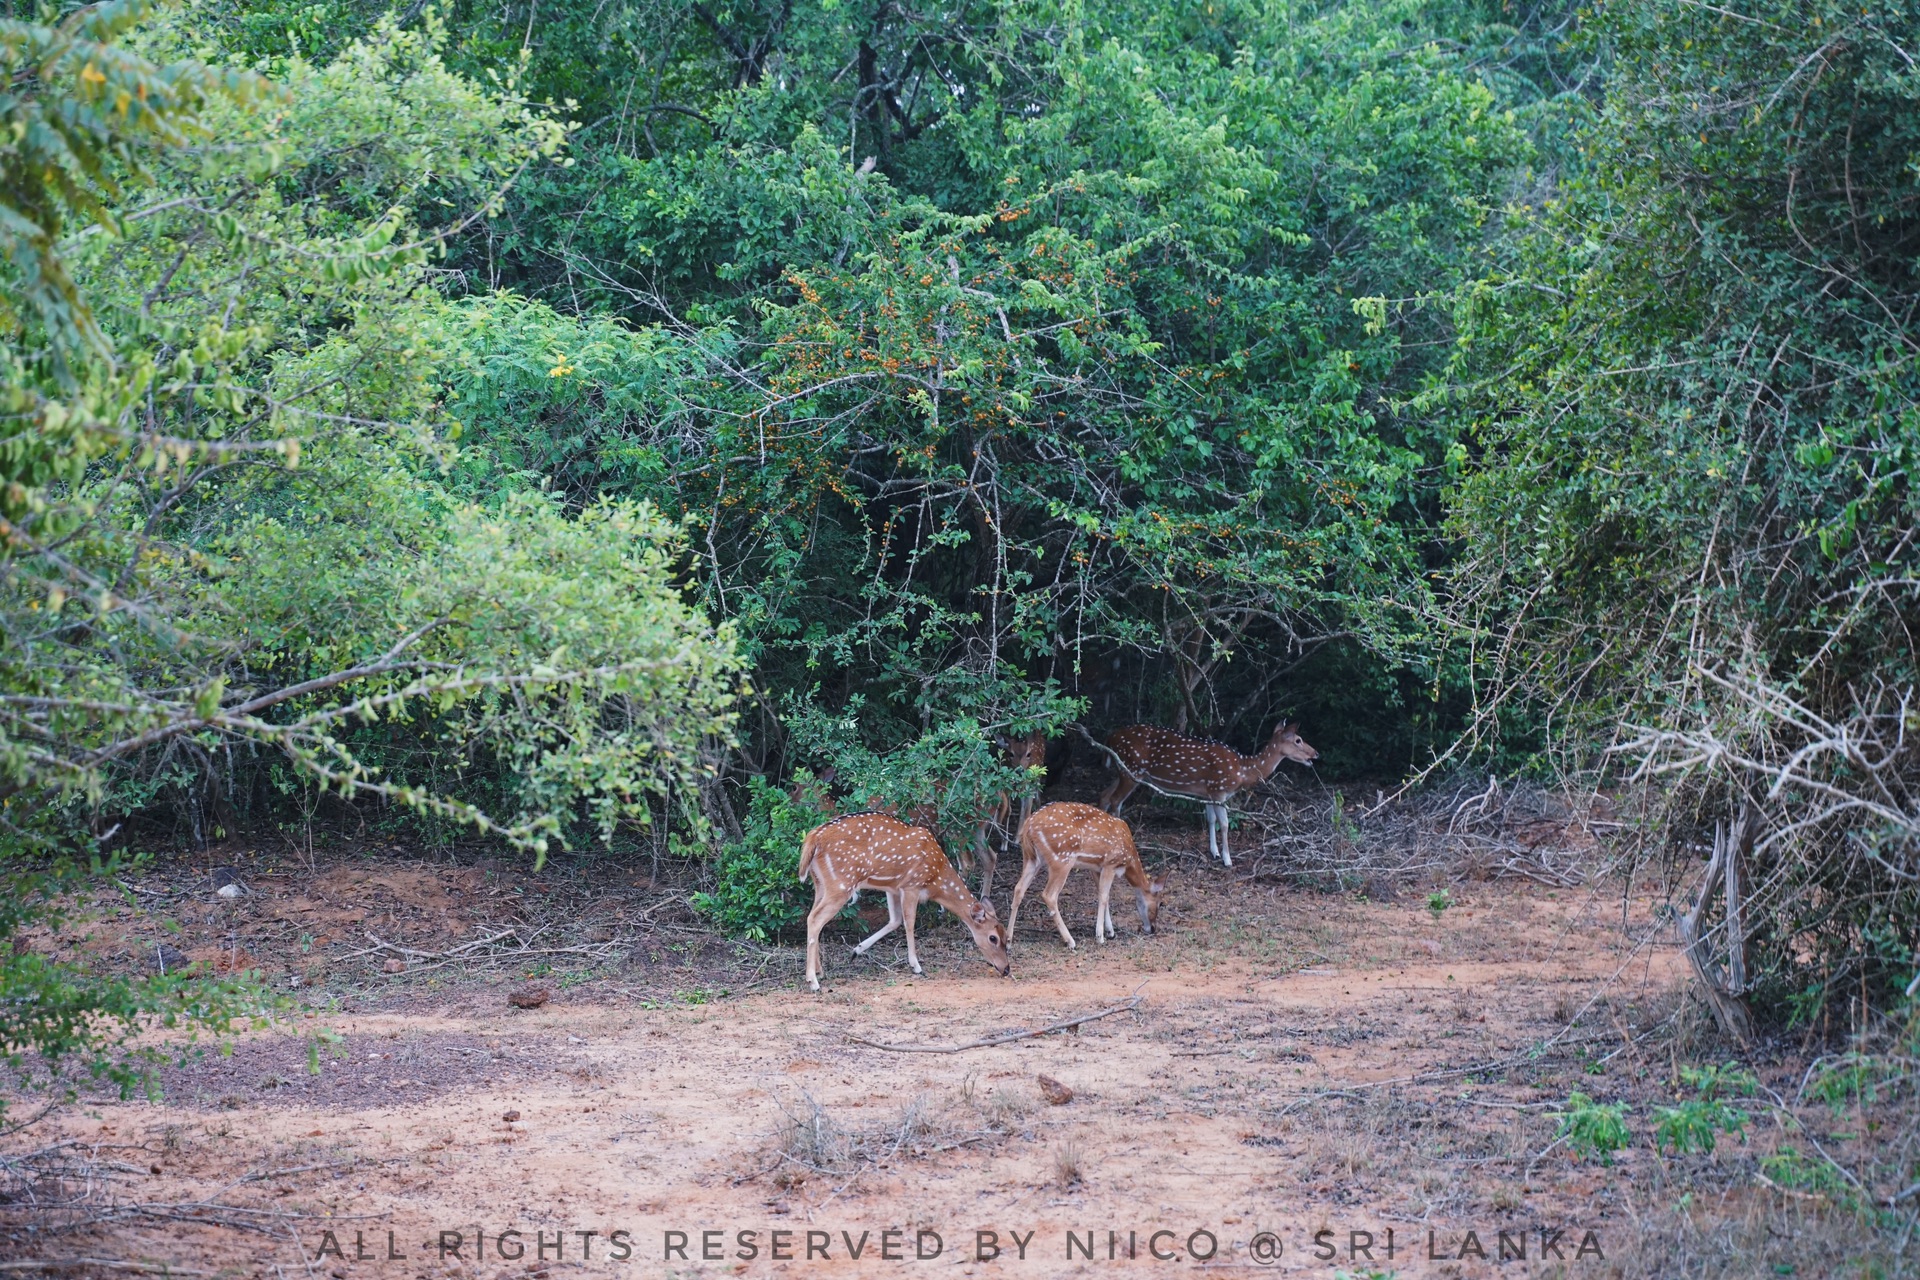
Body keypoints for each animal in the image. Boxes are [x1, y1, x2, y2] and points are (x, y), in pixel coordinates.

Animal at [794, 809, 1013, 997]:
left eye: (1006, 938)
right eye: (993, 938)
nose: (1006, 969)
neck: (936, 877)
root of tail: (812, 837)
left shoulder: (892, 887)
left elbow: (895, 921)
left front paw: (856, 950)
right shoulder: (911, 885)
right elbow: (909, 922)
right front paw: (916, 966)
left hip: (820, 883)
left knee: (813, 916)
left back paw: (820, 971)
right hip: (841, 882)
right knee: (815, 919)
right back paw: (813, 981)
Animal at [1006, 802, 1167, 951]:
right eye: (1159, 903)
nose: (1153, 928)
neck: (1129, 860)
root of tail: (1029, 825)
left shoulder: (1096, 868)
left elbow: (1104, 895)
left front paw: (1110, 932)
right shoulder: (1111, 863)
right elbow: (1103, 897)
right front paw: (1100, 936)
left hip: (1031, 858)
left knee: (1018, 888)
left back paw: (1008, 941)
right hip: (1062, 858)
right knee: (1049, 895)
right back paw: (1070, 941)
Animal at [1098, 721, 1320, 871]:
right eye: (1298, 740)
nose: (1316, 754)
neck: (1243, 770)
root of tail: (1110, 737)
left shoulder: (1208, 791)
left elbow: (1210, 819)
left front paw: (1214, 852)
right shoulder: (1219, 788)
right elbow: (1224, 823)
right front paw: (1227, 859)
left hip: (1121, 770)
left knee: (1104, 795)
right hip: (1132, 769)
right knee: (1116, 801)